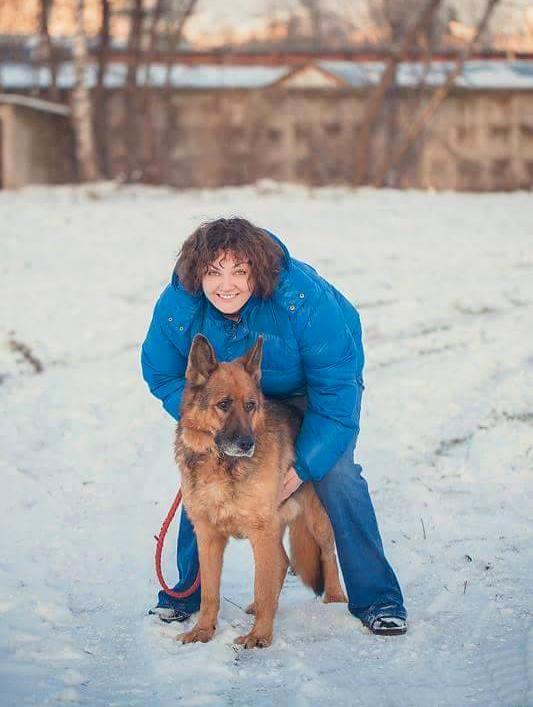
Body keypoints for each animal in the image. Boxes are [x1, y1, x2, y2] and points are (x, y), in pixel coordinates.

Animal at [175, 334, 346, 649]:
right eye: (224, 404)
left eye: (251, 405)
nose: (247, 444)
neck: (221, 465)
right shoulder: (208, 536)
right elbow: (209, 593)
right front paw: (203, 631)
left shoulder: (261, 532)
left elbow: (262, 585)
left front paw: (260, 636)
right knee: (281, 563)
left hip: (316, 520)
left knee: (327, 554)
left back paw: (335, 597)